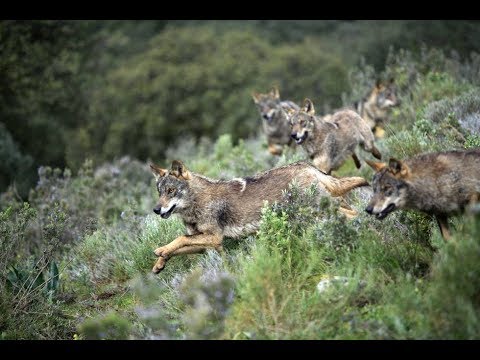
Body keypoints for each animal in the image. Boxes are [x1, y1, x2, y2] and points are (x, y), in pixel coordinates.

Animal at [150, 159, 368, 272]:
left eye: (170, 191)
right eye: (159, 192)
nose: (156, 210)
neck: (197, 202)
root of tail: (307, 166)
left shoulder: (214, 238)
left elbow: (179, 239)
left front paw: (160, 251)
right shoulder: (209, 244)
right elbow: (178, 246)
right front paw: (160, 263)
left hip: (318, 212)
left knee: (353, 214)